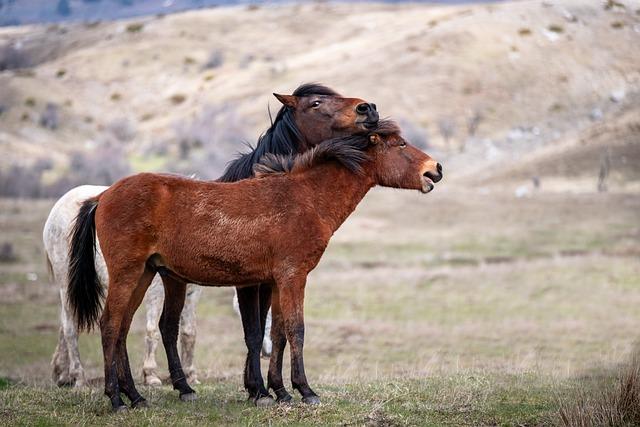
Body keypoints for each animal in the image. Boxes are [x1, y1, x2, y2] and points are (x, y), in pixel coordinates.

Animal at [44, 184, 270, 388]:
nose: (267, 352)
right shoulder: (156, 292)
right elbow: (152, 330)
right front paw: (151, 375)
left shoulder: (192, 293)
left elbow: (189, 332)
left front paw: (189, 376)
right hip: (67, 285)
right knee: (70, 327)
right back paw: (79, 377)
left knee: (65, 326)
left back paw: (62, 374)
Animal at [67, 119, 442, 412]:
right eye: (401, 144)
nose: (435, 169)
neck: (305, 198)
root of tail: (103, 195)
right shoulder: (293, 276)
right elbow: (296, 329)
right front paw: (305, 391)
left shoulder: (276, 281)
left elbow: (276, 333)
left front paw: (279, 391)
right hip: (127, 273)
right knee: (110, 324)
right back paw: (117, 400)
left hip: (144, 273)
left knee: (123, 327)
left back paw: (136, 397)